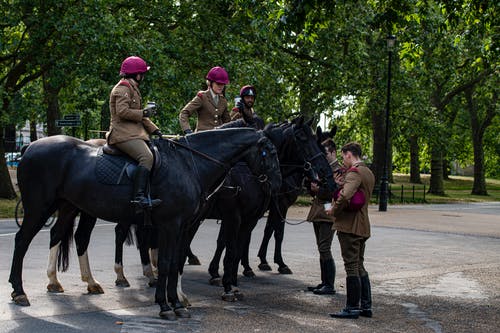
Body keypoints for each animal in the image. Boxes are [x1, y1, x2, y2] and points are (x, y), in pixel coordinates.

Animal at [8, 127, 282, 320]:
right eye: (270, 152)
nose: (277, 185)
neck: (188, 165)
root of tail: (29, 146)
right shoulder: (172, 225)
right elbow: (167, 262)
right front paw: (165, 304)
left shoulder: (184, 226)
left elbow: (175, 263)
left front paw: (177, 302)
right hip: (40, 208)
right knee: (22, 241)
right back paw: (20, 290)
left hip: (69, 207)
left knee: (64, 235)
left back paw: (70, 282)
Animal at [178, 116, 338, 300]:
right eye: (303, 139)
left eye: (323, 146)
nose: (327, 177)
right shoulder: (245, 213)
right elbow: (243, 242)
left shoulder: (252, 216)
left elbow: (242, 243)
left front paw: (234, 276)